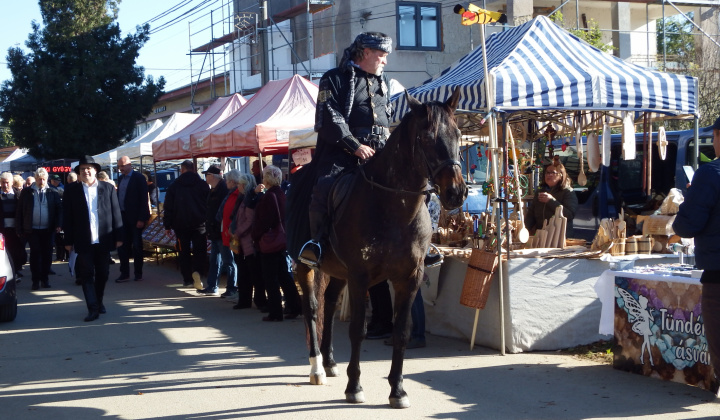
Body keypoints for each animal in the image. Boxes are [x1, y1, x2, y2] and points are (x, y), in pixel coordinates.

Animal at [292, 88, 466, 406]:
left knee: (330, 302)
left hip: (338, 271)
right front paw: (355, 386)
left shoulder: (408, 278)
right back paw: (317, 367)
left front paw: (397, 389)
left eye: (458, 134)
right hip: (304, 266)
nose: (456, 193)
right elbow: (357, 331)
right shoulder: (361, 277)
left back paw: (331, 362)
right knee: (312, 308)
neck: (393, 208)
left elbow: (402, 332)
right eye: (427, 138)